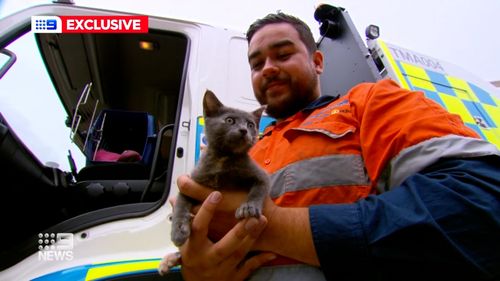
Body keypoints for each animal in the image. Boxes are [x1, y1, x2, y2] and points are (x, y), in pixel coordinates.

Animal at [160, 90, 270, 274]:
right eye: (230, 120)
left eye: (250, 124)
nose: (243, 130)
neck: (223, 159)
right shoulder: (191, 182)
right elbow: (181, 205)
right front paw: (179, 230)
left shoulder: (261, 175)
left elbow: (259, 188)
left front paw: (248, 207)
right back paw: (170, 259)